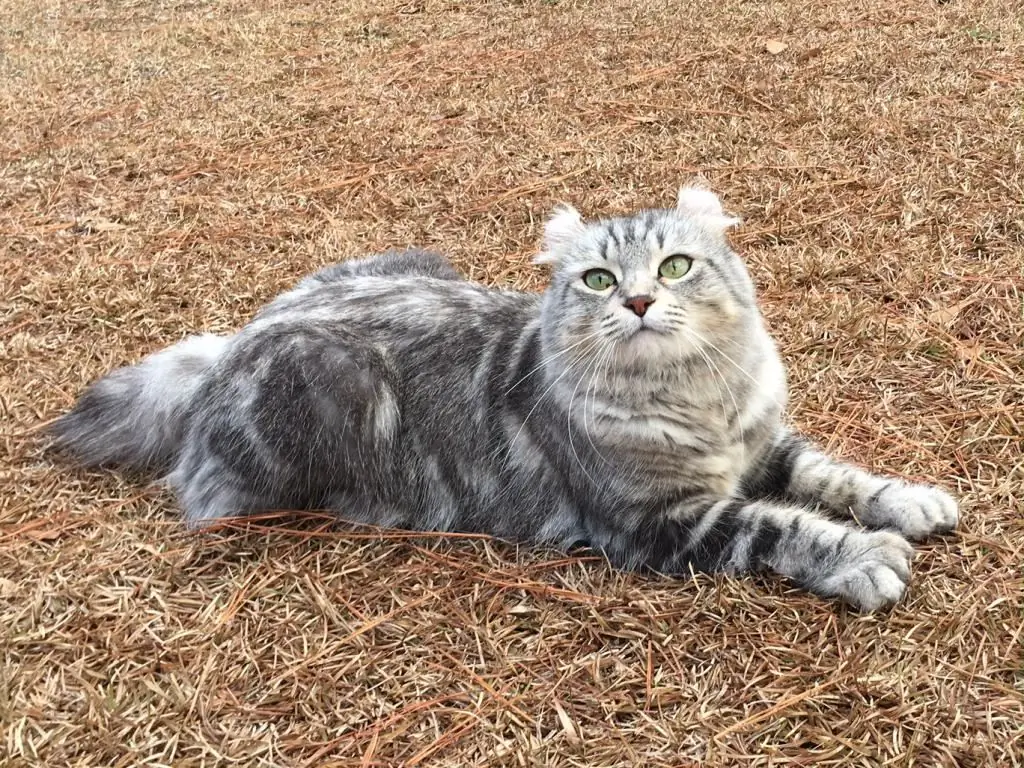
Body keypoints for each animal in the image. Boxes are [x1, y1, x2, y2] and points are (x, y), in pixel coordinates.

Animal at [48, 186, 958, 614]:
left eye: (675, 267)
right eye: (599, 279)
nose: (638, 302)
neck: (696, 399)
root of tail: (234, 342)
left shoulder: (764, 445)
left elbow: (839, 478)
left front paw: (912, 502)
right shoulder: (662, 522)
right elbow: (787, 526)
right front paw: (864, 559)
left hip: (410, 261)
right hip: (322, 381)